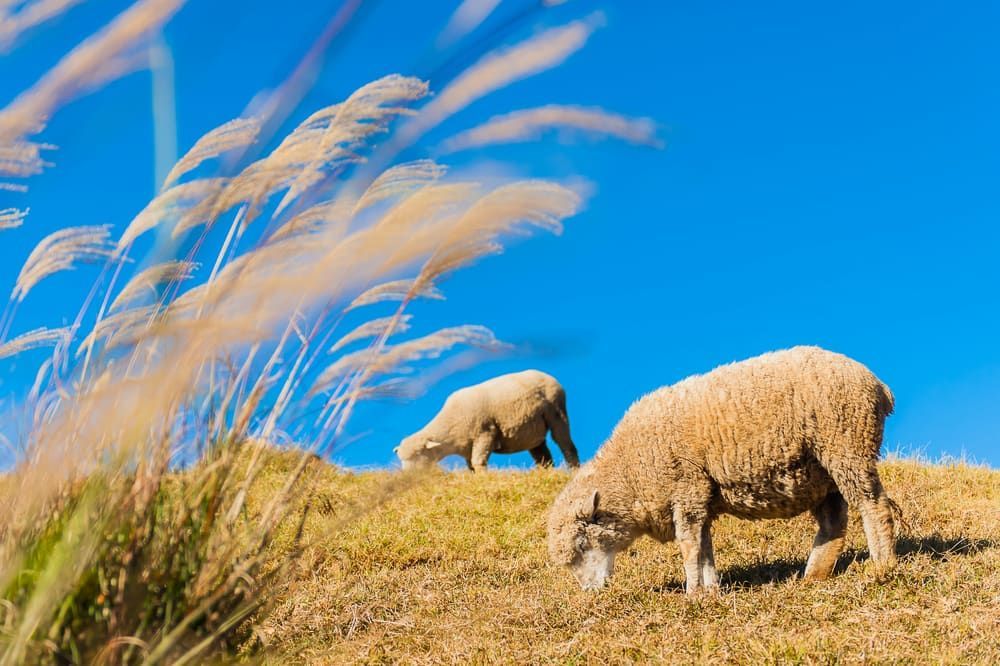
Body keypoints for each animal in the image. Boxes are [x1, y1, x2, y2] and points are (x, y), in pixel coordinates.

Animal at [396, 369, 579, 471]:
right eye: (402, 459)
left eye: (417, 455)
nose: (407, 475)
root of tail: (546, 375)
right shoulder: (467, 447)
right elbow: (471, 466)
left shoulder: (484, 434)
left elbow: (478, 462)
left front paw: (483, 479)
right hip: (533, 431)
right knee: (542, 455)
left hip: (557, 412)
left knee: (566, 444)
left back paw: (574, 470)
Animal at [547, 346, 898, 594]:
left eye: (582, 545)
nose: (590, 591)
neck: (631, 471)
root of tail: (879, 386)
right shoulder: (700, 497)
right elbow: (704, 547)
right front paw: (711, 589)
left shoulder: (687, 490)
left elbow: (689, 545)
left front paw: (692, 593)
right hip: (821, 472)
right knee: (833, 522)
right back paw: (813, 576)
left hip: (847, 445)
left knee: (874, 507)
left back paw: (881, 568)